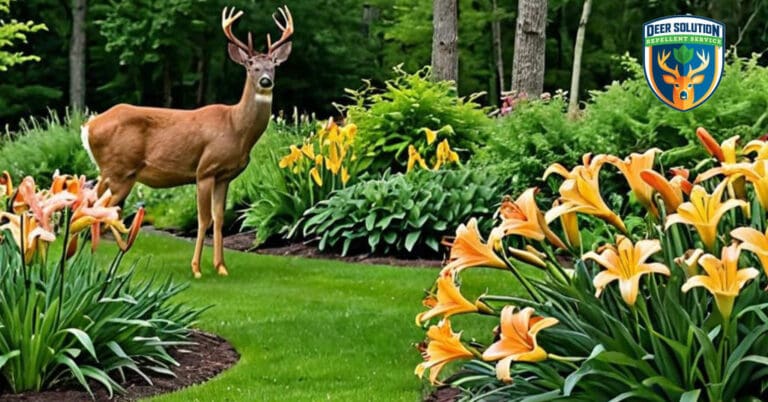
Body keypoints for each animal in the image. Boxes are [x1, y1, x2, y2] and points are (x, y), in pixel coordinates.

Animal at [81, 6, 293, 278]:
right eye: (250, 65)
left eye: (274, 64)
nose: (266, 80)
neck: (235, 127)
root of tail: (89, 126)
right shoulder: (205, 170)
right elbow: (204, 219)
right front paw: (196, 268)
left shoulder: (224, 176)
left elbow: (219, 218)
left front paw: (221, 267)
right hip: (119, 171)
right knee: (97, 206)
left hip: (111, 173)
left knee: (92, 202)